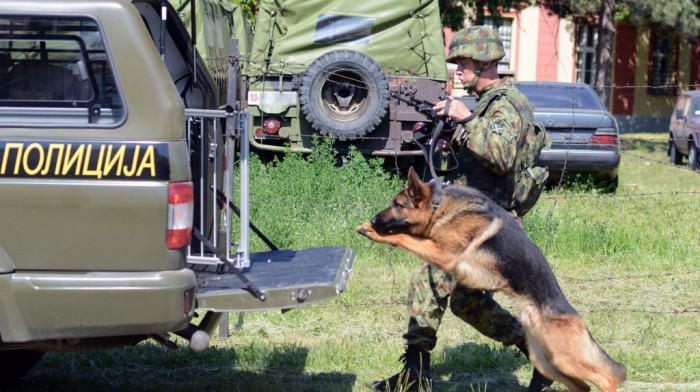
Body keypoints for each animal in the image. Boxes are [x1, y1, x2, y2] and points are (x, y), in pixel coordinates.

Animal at [358, 168, 628, 392]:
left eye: (396, 204)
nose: (373, 220)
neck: (439, 204)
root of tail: (574, 315)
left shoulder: (443, 254)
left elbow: (404, 238)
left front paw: (371, 232)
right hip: (547, 362)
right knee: (583, 386)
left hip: (564, 358)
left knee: (605, 379)